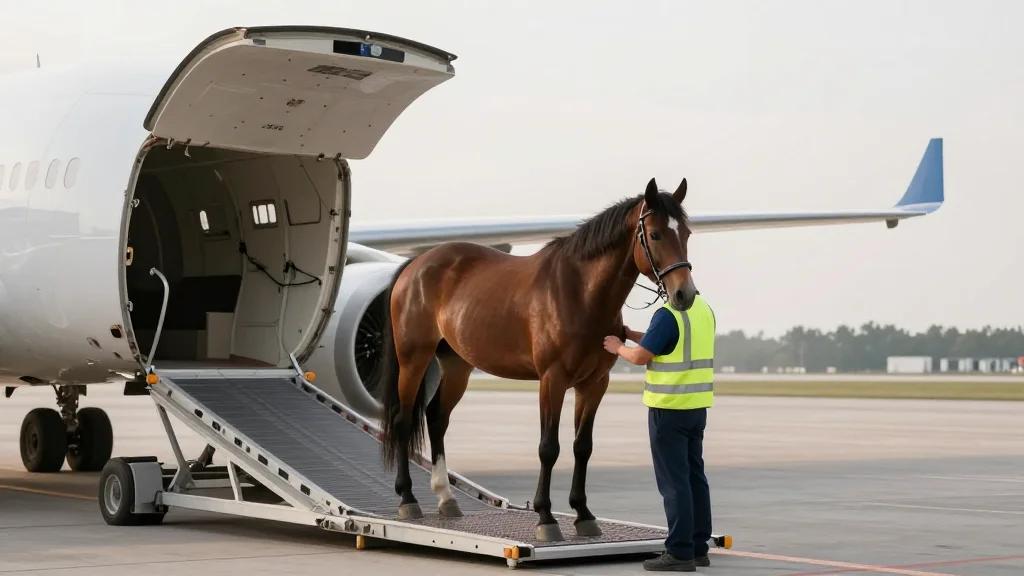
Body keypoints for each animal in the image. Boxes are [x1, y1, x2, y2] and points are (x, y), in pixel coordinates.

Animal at [379, 177, 695, 541]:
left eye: (686, 233)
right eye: (655, 234)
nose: (685, 294)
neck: (578, 293)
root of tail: (415, 265)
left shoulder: (594, 384)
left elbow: (582, 446)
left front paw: (583, 514)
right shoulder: (552, 380)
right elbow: (549, 447)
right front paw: (546, 517)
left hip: (457, 365)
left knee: (436, 418)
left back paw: (446, 498)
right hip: (413, 359)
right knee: (404, 420)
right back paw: (408, 498)